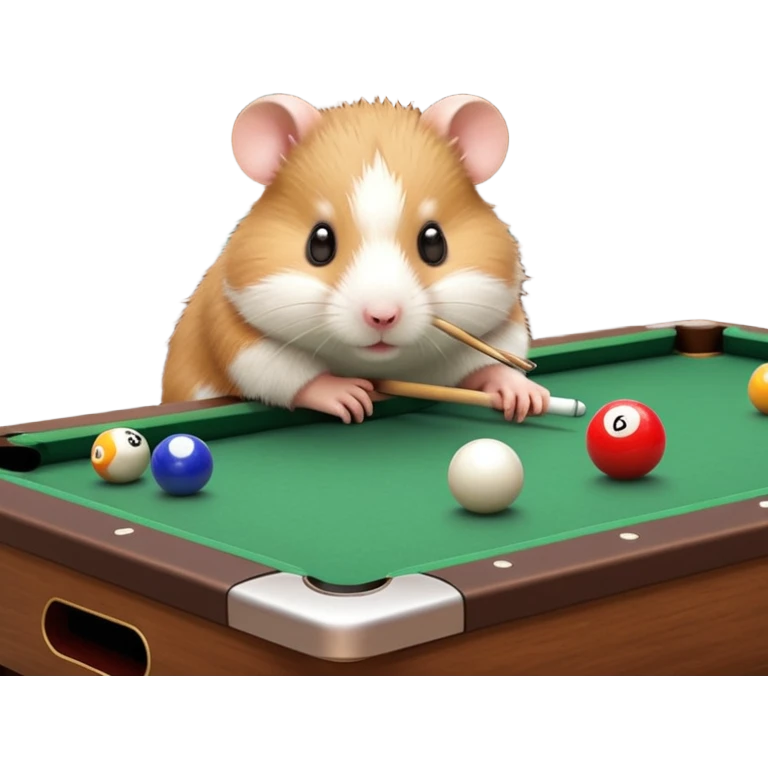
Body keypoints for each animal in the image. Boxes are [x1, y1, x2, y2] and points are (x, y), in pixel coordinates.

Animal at [160, 93, 550, 424]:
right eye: (319, 243)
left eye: (434, 243)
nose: (382, 317)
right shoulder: (230, 327)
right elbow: (277, 368)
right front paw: (345, 394)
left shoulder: (503, 321)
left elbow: (488, 360)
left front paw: (521, 392)